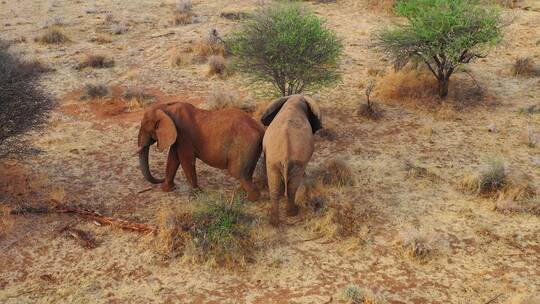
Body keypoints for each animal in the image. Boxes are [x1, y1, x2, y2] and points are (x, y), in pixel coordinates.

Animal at [260, 95, 322, 226]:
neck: (294, 100)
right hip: (294, 163)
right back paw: (292, 213)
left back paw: (274, 221)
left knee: (275, 186)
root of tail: (285, 155)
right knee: (292, 187)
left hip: (277, 162)